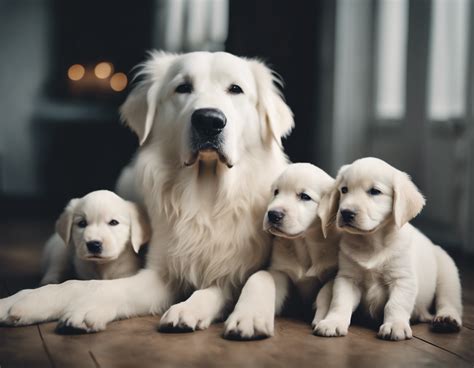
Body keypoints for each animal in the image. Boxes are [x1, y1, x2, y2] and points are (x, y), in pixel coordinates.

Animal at [0, 50, 294, 334]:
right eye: (183, 88)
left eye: (236, 89)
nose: (209, 121)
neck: (207, 197)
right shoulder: (160, 274)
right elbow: (90, 286)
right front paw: (28, 301)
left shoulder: (241, 270)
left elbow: (230, 285)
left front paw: (205, 311)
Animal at [224, 164, 338, 340]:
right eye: (276, 192)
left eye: (305, 196)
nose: (273, 214)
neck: (304, 243)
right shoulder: (280, 271)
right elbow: (260, 276)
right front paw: (248, 317)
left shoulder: (334, 270)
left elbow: (328, 287)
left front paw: (326, 317)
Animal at [314, 157, 462, 340]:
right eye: (344, 189)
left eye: (375, 191)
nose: (346, 213)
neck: (372, 242)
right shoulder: (347, 278)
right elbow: (340, 302)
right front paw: (333, 322)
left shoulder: (402, 279)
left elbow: (395, 304)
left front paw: (395, 325)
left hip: (447, 272)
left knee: (449, 301)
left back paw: (447, 319)